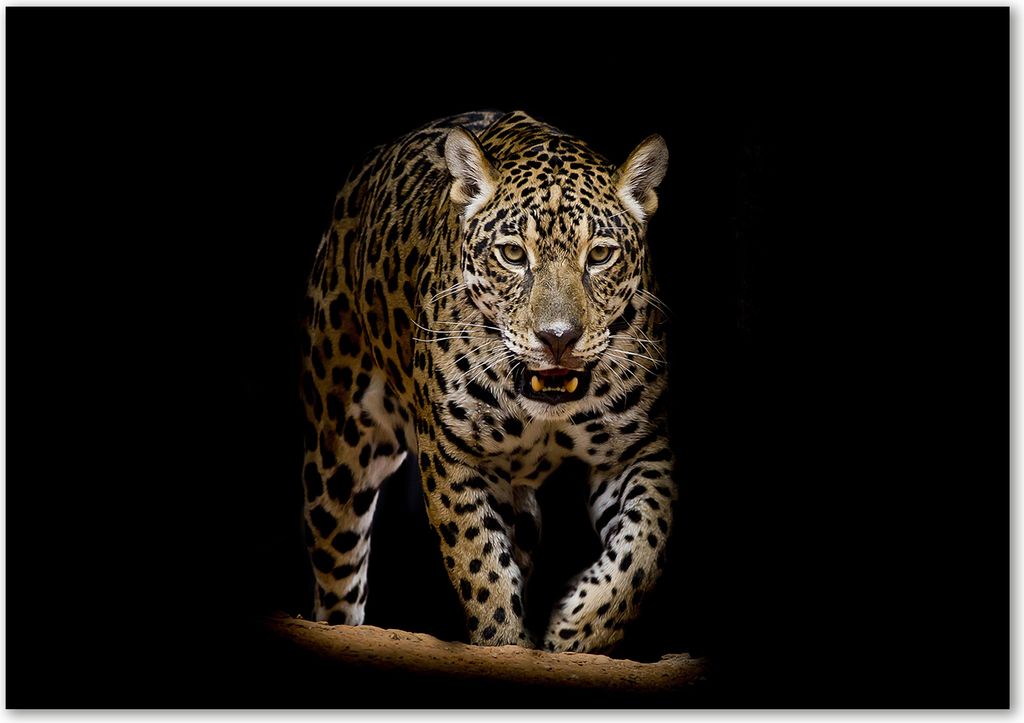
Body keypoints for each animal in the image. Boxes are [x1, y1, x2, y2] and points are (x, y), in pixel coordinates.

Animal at [299, 110, 676, 654]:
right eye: (513, 255)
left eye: (600, 255)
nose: (557, 338)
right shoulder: (453, 458)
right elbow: (481, 570)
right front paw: (506, 642)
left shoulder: (638, 449)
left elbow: (644, 546)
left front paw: (575, 630)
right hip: (338, 454)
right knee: (337, 573)